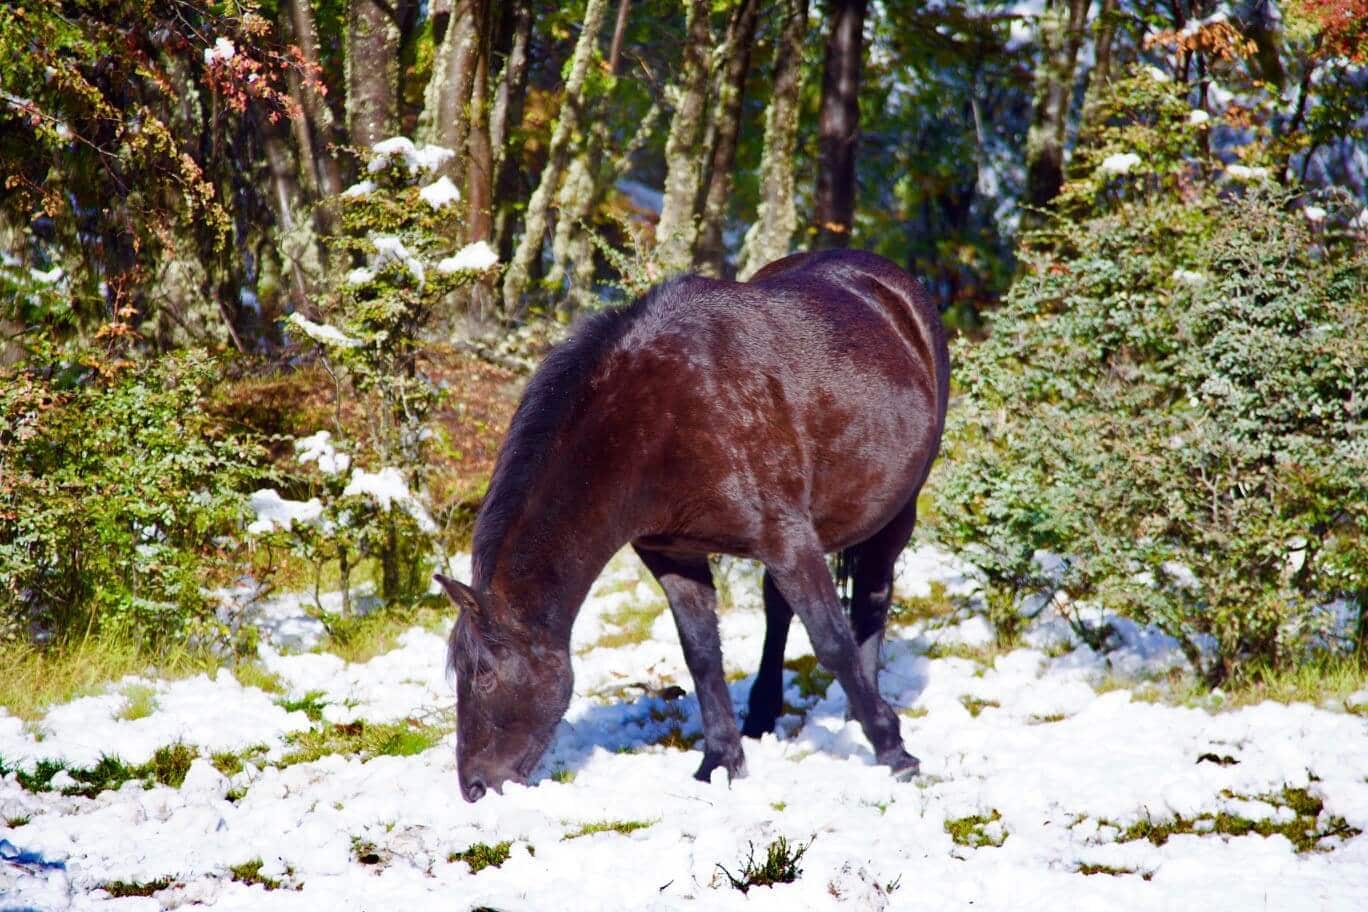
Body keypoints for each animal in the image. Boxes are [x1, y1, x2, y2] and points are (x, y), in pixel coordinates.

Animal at [437, 247, 952, 798]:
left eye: (484, 676)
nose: (473, 786)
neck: (659, 418)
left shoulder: (787, 539)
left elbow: (833, 642)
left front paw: (893, 749)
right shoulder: (674, 554)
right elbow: (702, 653)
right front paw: (722, 761)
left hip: (898, 510)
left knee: (873, 596)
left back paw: (869, 708)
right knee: (779, 609)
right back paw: (763, 715)